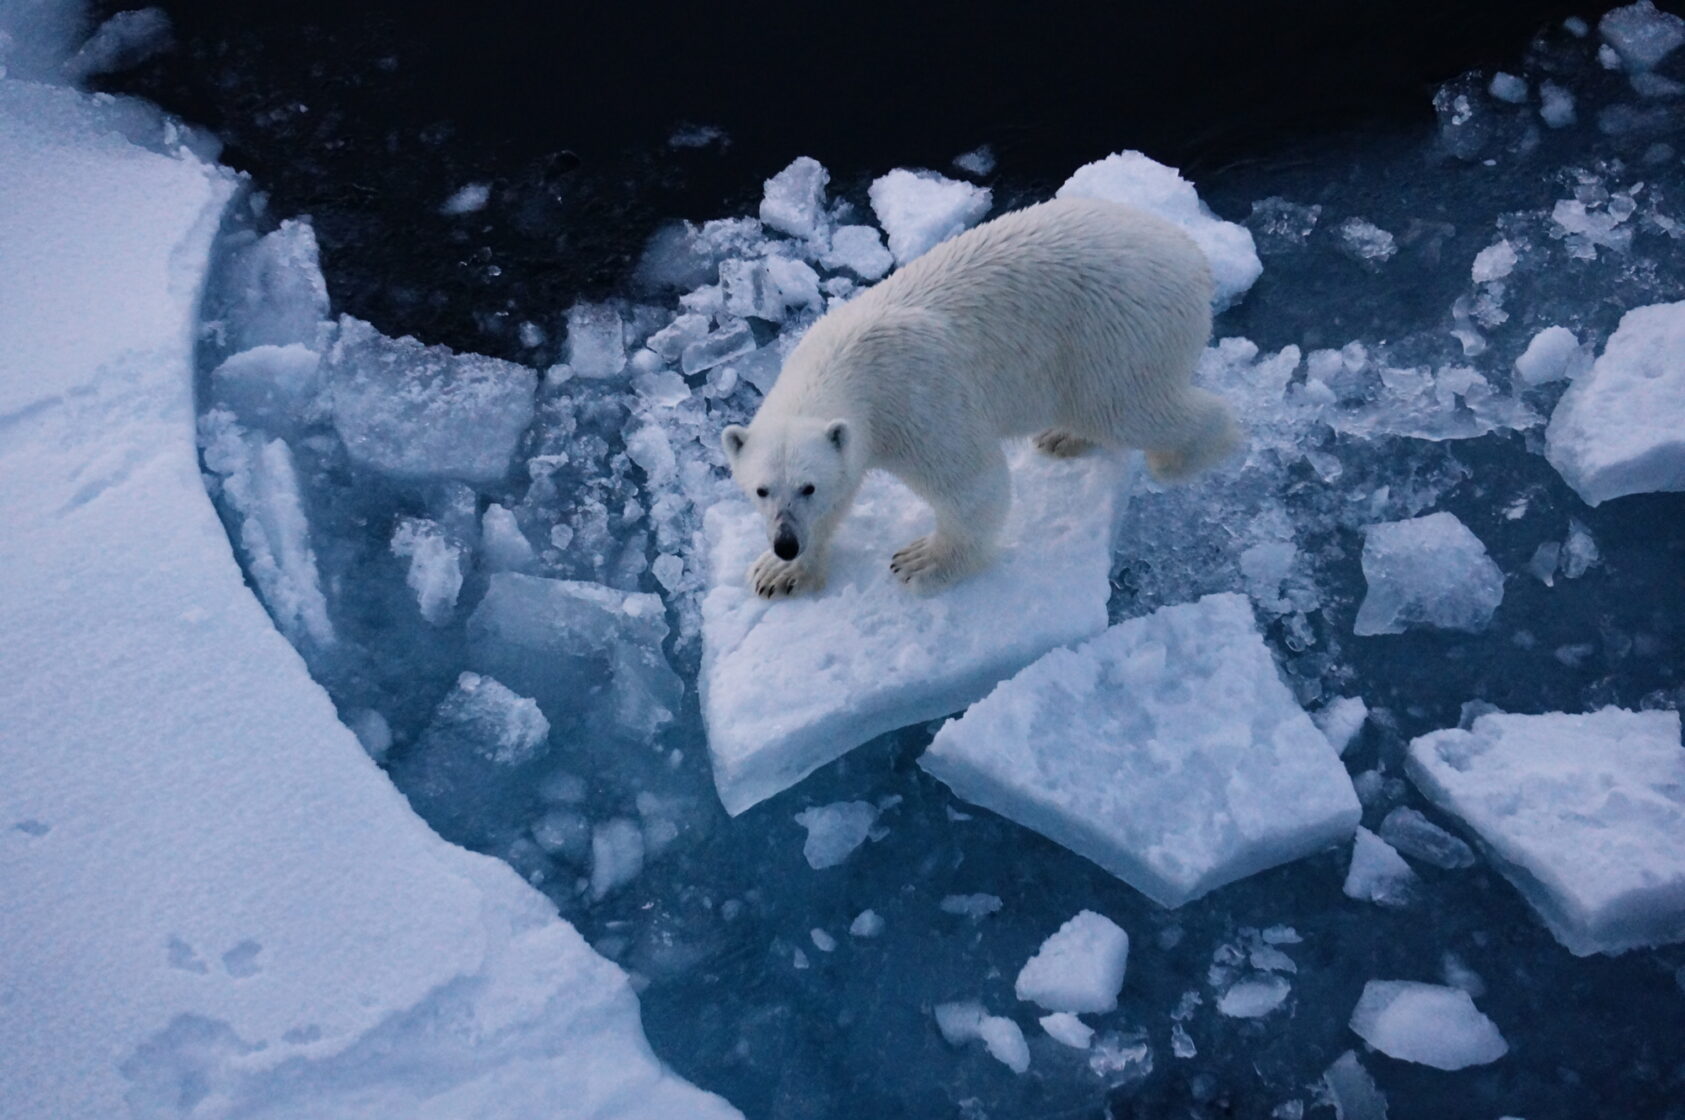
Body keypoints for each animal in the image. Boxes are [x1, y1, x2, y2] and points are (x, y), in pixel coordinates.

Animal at [722, 195, 1239, 599]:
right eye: (761, 489)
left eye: (807, 486)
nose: (785, 542)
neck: (844, 359)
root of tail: (1195, 256)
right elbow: (845, 487)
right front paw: (777, 572)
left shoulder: (915, 400)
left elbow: (972, 483)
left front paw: (922, 561)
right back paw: (1062, 436)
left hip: (1119, 331)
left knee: (1130, 408)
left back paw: (1188, 454)